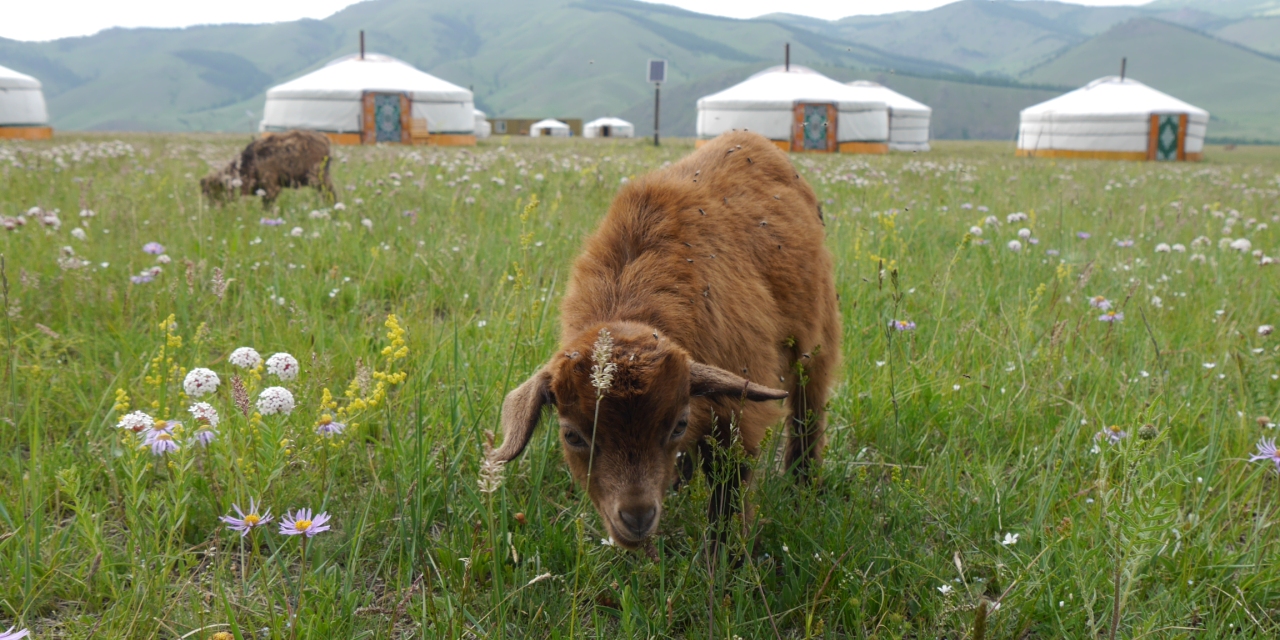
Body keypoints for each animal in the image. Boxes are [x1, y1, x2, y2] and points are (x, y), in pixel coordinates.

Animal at [491, 131, 839, 550]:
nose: (636, 518)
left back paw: (802, 481)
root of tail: (750, 137)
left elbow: (729, 490)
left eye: (677, 425)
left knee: (809, 405)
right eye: (571, 435)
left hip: (817, 334)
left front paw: (725, 557)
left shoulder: (739, 410)